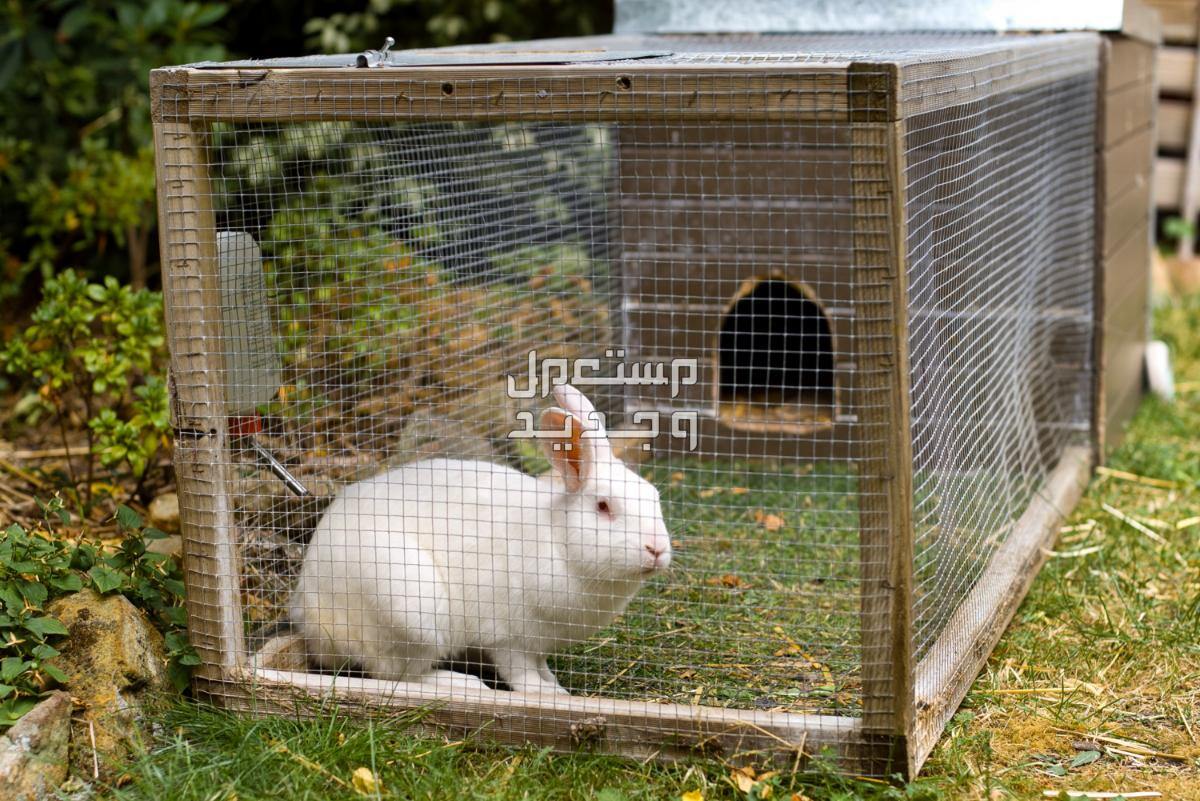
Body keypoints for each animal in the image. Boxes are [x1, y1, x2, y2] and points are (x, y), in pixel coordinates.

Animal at [285, 383, 672, 695]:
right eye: (604, 506)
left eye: (655, 496)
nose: (657, 549)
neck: (559, 541)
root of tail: (310, 615)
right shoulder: (508, 637)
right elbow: (520, 673)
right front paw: (549, 695)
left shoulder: (539, 643)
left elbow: (541, 665)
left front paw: (554, 684)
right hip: (410, 610)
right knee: (397, 675)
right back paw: (463, 683)